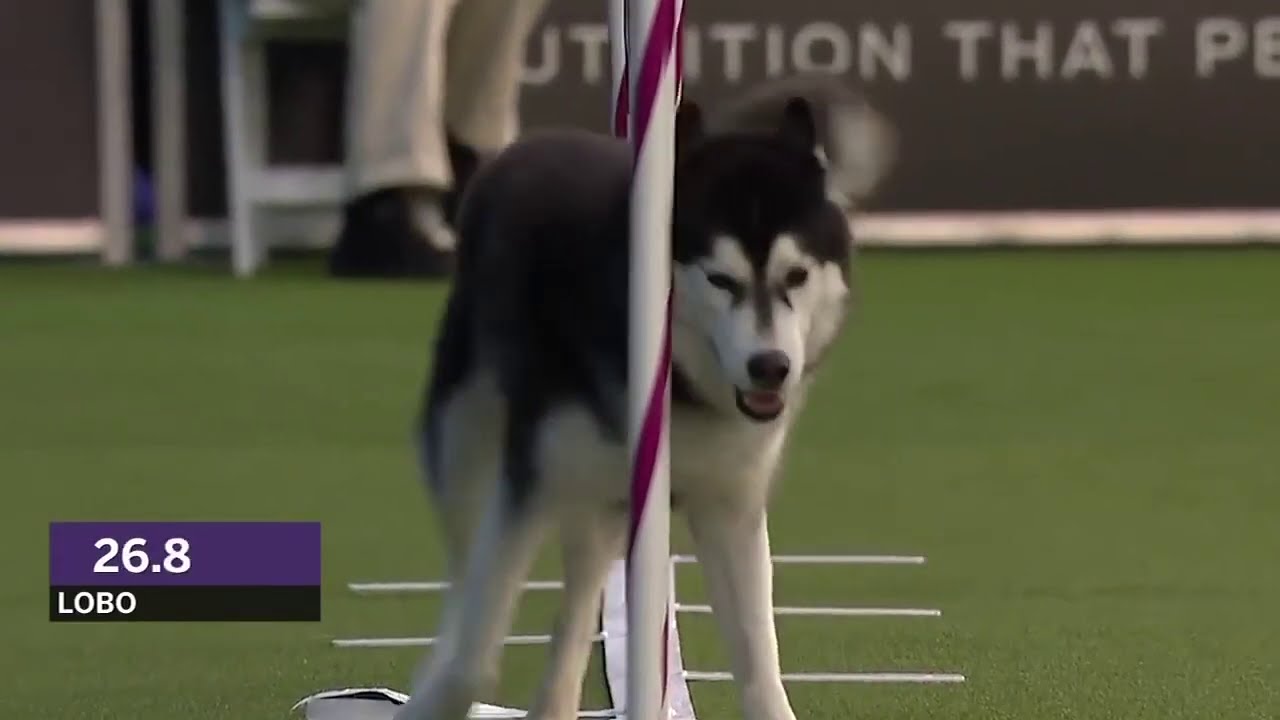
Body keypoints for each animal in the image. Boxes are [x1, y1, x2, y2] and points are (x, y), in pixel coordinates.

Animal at [396, 78, 890, 717]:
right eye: (720, 279)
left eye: (797, 276)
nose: (771, 368)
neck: (680, 386)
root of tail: (530, 144)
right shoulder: (527, 487)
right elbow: (471, 659)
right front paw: (435, 695)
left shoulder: (729, 507)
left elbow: (760, 669)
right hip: (465, 441)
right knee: (464, 576)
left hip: (603, 507)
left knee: (578, 599)